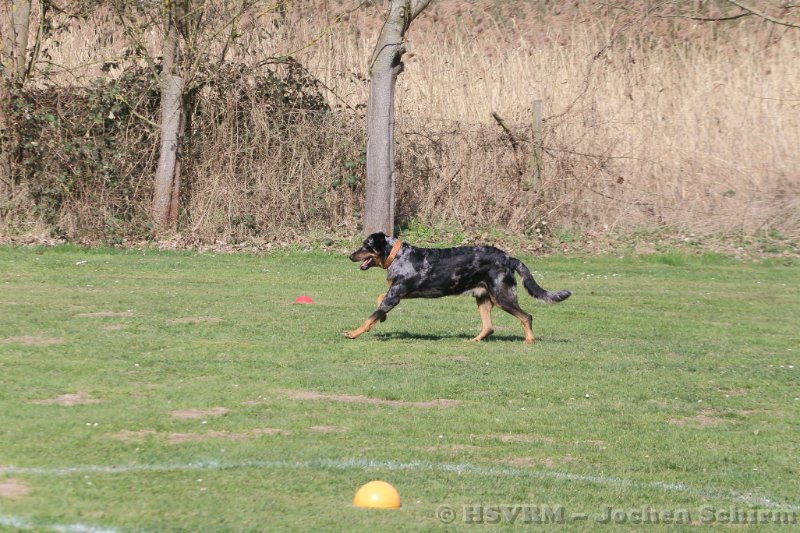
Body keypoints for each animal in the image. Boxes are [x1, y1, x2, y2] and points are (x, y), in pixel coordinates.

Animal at [344, 232, 571, 343]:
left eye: (366, 245)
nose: (349, 256)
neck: (397, 256)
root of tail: (509, 258)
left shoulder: (395, 296)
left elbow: (369, 318)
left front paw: (353, 334)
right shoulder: (395, 294)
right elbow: (378, 302)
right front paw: (383, 318)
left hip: (502, 297)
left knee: (527, 317)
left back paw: (529, 341)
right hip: (483, 299)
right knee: (489, 327)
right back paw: (474, 340)